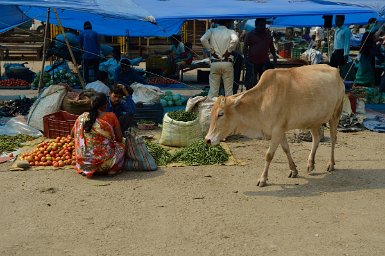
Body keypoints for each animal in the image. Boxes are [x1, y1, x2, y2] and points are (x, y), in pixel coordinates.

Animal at [206, 64, 344, 187]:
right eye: (211, 113)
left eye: (220, 114)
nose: (207, 140)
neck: (261, 102)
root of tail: (335, 70)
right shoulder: (280, 130)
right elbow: (286, 149)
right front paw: (293, 170)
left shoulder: (277, 130)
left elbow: (269, 155)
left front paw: (263, 179)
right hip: (313, 121)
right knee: (316, 138)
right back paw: (310, 164)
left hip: (335, 115)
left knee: (333, 139)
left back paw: (331, 164)